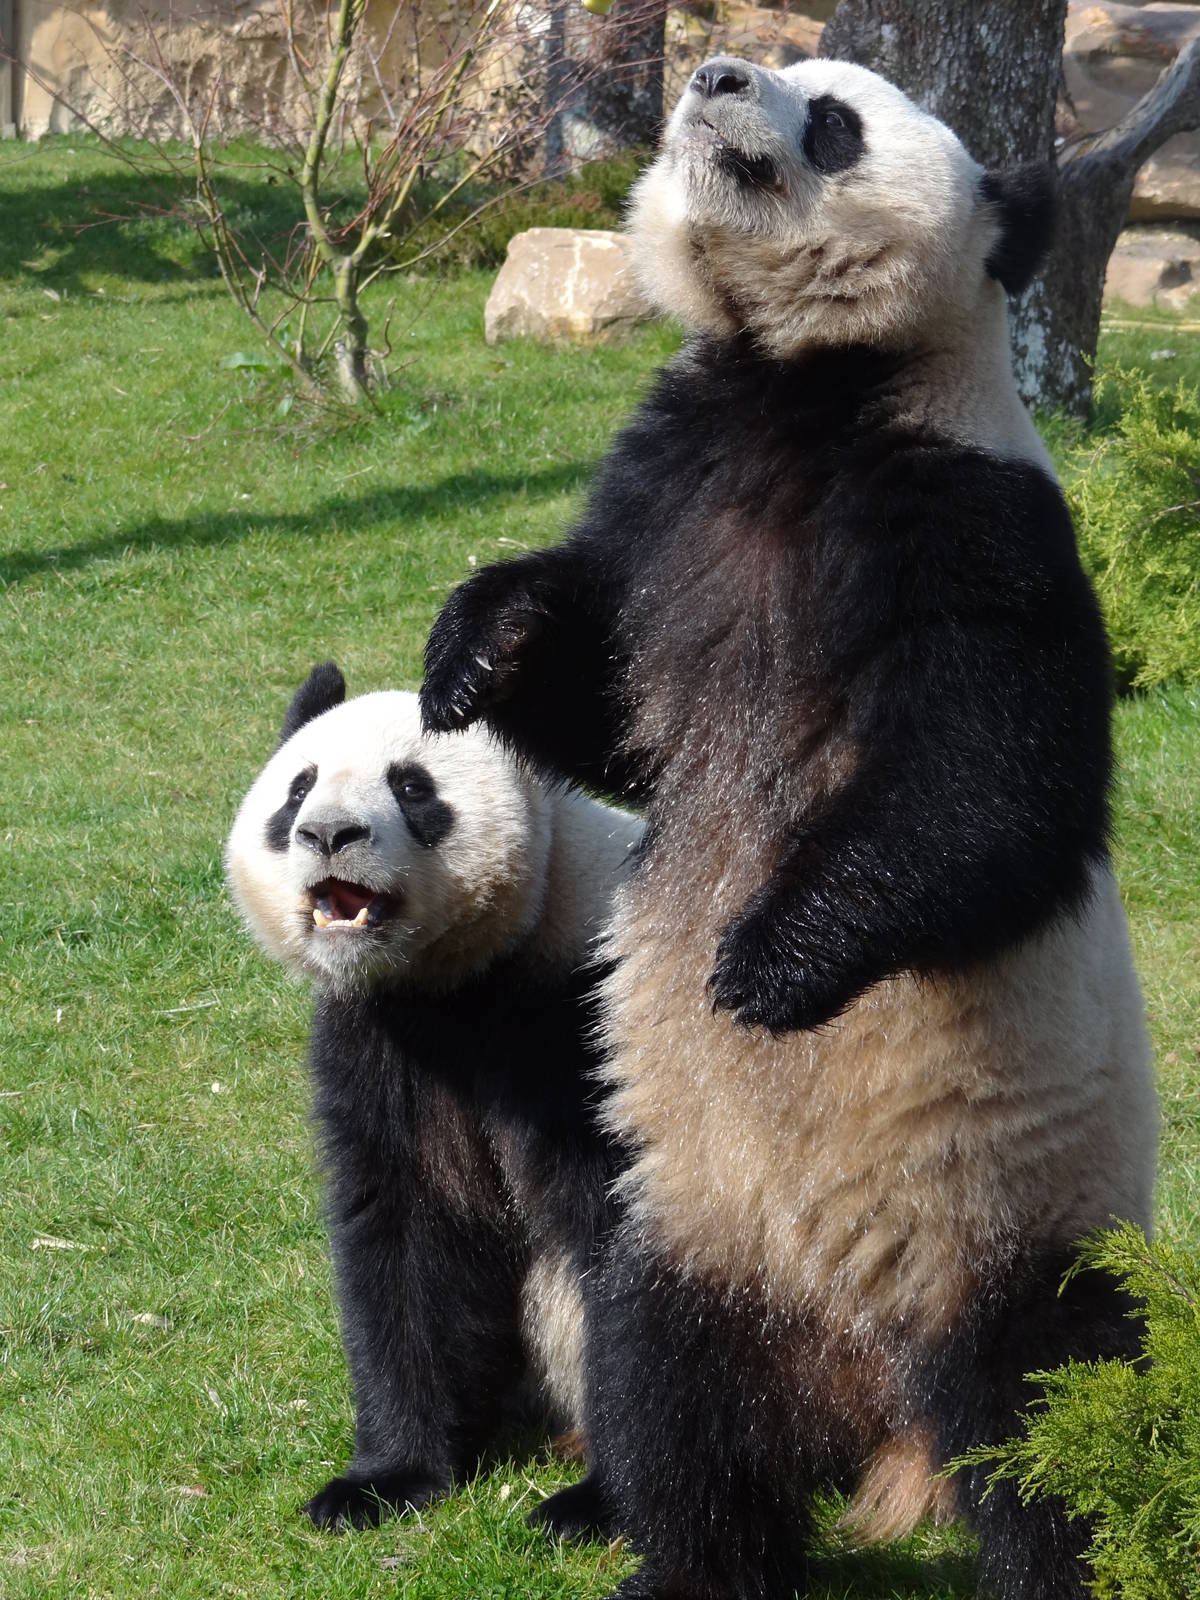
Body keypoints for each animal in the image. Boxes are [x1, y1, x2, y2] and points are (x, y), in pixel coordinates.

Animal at [225, 661, 642, 1533]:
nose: (329, 834)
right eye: (297, 789)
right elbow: (407, 1234)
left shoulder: (587, 1024)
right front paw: (383, 1479)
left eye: (413, 787)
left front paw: (601, 1506)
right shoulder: (382, 1043)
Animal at [418, 56, 1158, 1600]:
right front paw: (478, 647)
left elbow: (991, 785)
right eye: (777, 70)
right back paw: (678, 1558)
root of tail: (877, 1406)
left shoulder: (969, 518)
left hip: (1015, 1223)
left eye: (833, 119)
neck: (803, 386)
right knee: (675, 1399)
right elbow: (603, 699)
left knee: (1054, 1420)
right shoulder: (670, 494)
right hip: (699, 1227)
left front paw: (769, 964)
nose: (713, 72)